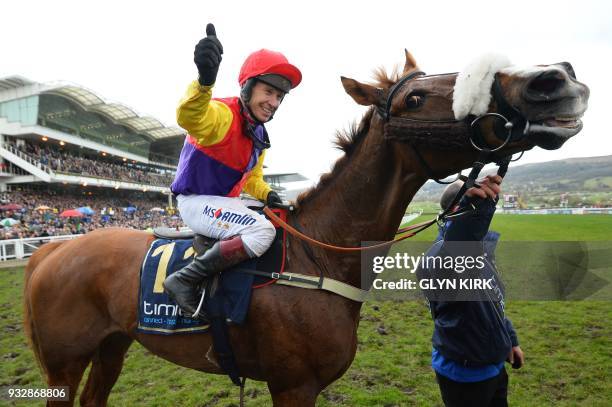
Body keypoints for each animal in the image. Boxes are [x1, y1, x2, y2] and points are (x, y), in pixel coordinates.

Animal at [22, 51, 588, 407]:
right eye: (413, 99)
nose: (552, 79)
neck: (319, 257)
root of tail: (48, 252)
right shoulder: (293, 386)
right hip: (63, 367)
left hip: (113, 347)